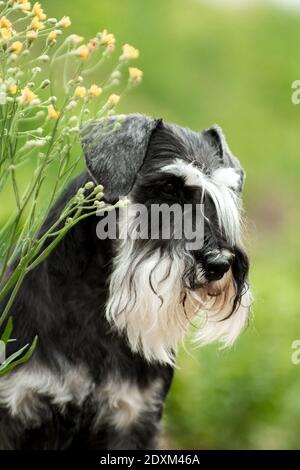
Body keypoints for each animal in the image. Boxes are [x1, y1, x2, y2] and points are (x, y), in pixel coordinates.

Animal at [0, 114, 250, 452]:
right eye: (168, 188)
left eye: (226, 194)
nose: (219, 264)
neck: (96, 304)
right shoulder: (15, 402)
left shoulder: (135, 416)